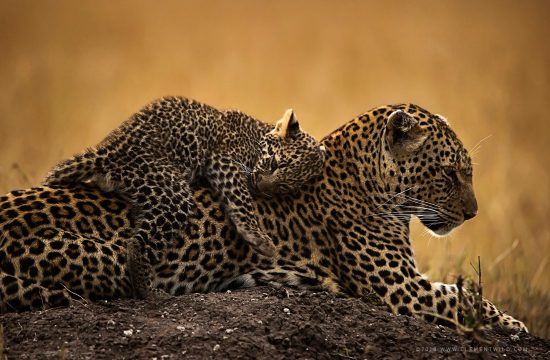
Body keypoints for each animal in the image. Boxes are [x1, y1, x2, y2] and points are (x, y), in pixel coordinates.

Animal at [0, 102, 528, 332]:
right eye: (450, 172)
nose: (473, 214)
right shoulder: (400, 287)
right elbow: (463, 299)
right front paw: (513, 323)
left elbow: (462, 291)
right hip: (103, 257)